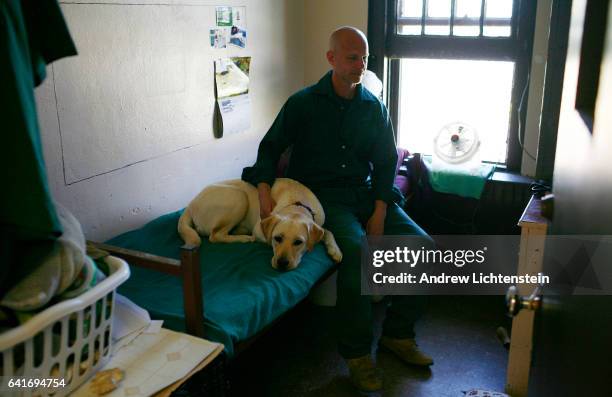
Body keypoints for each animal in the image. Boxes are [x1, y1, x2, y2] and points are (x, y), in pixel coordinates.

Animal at [177, 178, 342, 270]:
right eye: (277, 239)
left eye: (298, 242)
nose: (282, 263)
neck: (298, 203)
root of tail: (190, 205)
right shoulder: (260, 227)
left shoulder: (318, 223)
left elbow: (328, 231)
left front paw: (335, 250)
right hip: (239, 196)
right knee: (215, 235)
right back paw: (244, 237)